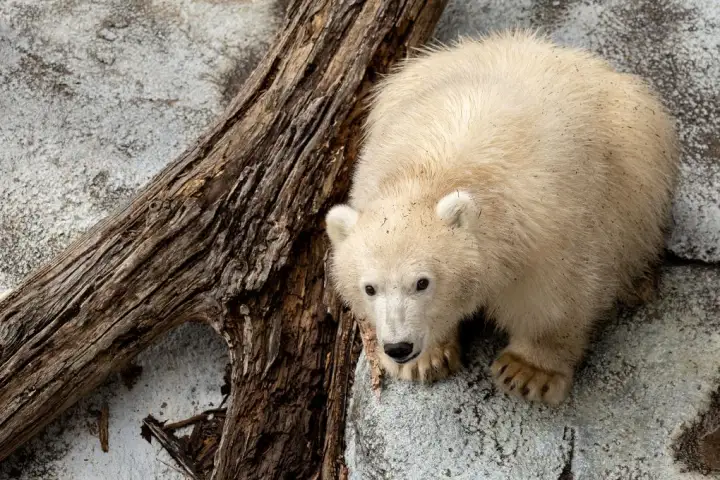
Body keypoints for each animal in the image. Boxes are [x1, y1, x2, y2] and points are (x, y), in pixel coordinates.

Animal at [324, 30, 679, 405]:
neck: (432, 173)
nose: (399, 347)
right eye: (369, 287)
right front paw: (427, 360)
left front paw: (528, 372)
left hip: (638, 155)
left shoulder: (546, 221)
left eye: (422, 282)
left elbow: (557, 294)